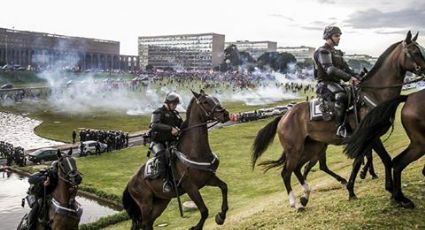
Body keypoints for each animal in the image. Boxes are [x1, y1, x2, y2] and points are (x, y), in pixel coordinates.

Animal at [121, 90, 229, 230]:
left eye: (216, 99)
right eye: (205, 102)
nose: (226, 114)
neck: (194, 152)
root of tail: (130, 183)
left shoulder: (208, 179)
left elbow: (224, 187)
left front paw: (221, 216)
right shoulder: (191, 187)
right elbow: (204, 211)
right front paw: (196, 227)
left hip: (161, 202)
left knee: (148, 223)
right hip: (145, 204)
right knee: (143, 223)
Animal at [250, 31, 424, 211]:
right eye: (415, 52)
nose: (424, 70)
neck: (374, 95)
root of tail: (284, 116)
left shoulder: (365, 139)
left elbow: (359, 161)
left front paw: (352, 189)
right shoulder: (372, 137)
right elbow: (385, 159)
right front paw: (392, 192)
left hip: (313, 147)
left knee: (300, 168)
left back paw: (306, 195)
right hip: (295, 149)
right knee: (286, 172)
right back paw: (296, 203)